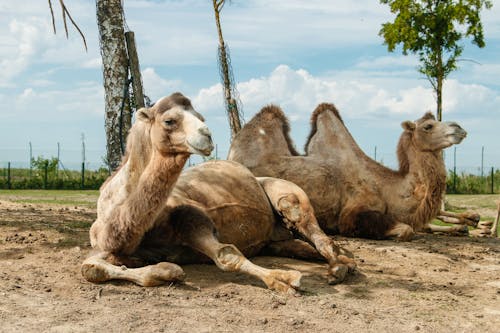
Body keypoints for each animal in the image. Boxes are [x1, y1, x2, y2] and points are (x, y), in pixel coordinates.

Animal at [81, 92, 356, 292]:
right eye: (169, 120)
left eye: (200, 116)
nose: (207, 135)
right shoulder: (104, 245)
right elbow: (90, 268)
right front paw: (163, 270)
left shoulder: (191, 216)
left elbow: (227, 254)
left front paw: (284, 279)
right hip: (274, 241)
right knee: (300, 246)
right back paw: (344, 261)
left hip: (288, 193)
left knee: (315, 232)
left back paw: (339, 268)